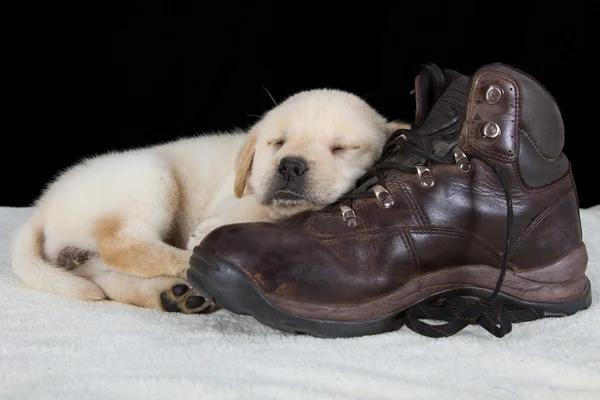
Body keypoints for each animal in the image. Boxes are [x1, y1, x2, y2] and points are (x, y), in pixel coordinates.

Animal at [9, 89, 408, 314]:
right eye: (277, 143)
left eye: (342, 149)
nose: (290, 166)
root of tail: (41, 208)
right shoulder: (242, 195)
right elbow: (260, 204)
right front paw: (211, 230)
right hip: (150, 174)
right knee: (123, 247)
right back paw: (188, 263)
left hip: (86, 258)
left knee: (107, 276)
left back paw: (172, 295)